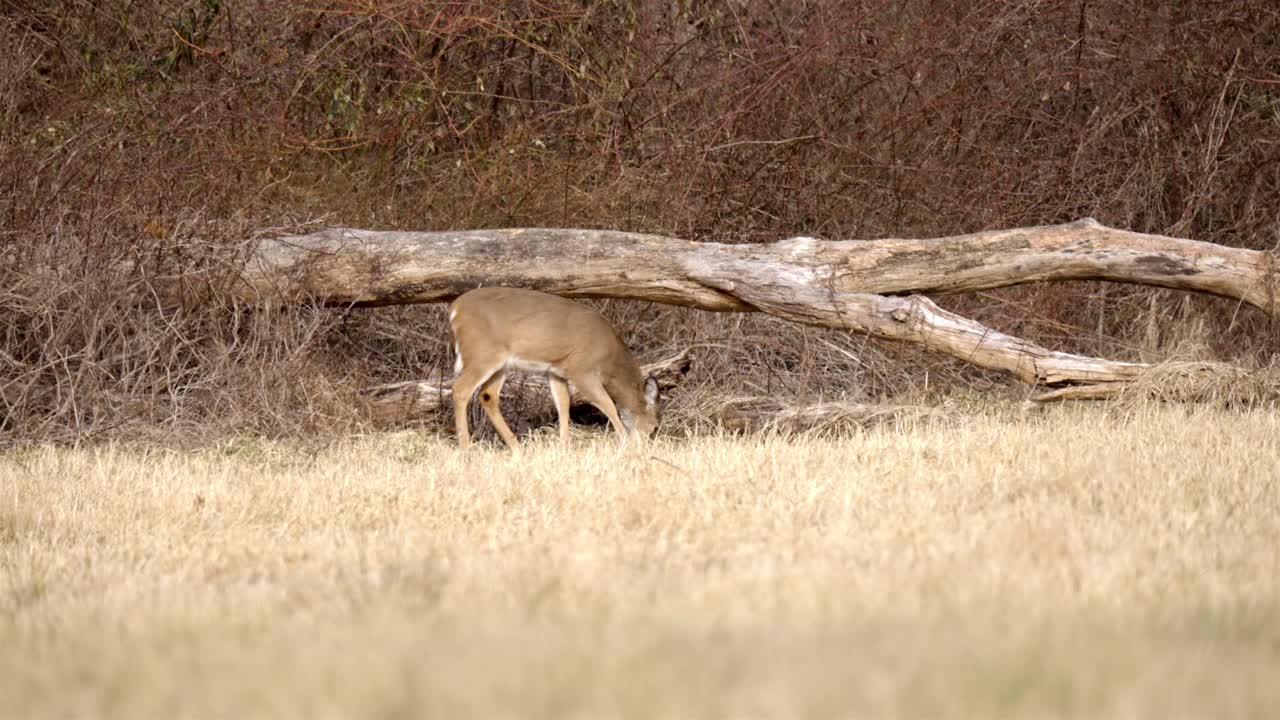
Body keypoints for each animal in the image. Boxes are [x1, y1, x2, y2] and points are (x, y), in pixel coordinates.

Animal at [447, 286, 661, 449]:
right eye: (655, 427)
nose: (649, 445)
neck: (610, 360)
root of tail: (454, 310)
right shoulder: (581, 369)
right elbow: (607, 403)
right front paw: (625, 444)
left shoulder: (556, 370)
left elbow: (563, 404)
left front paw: (564, 445)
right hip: (483, 354)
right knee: (461, 389)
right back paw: (466, 448)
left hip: (499, 363)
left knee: (487, 395)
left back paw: (516, 448)